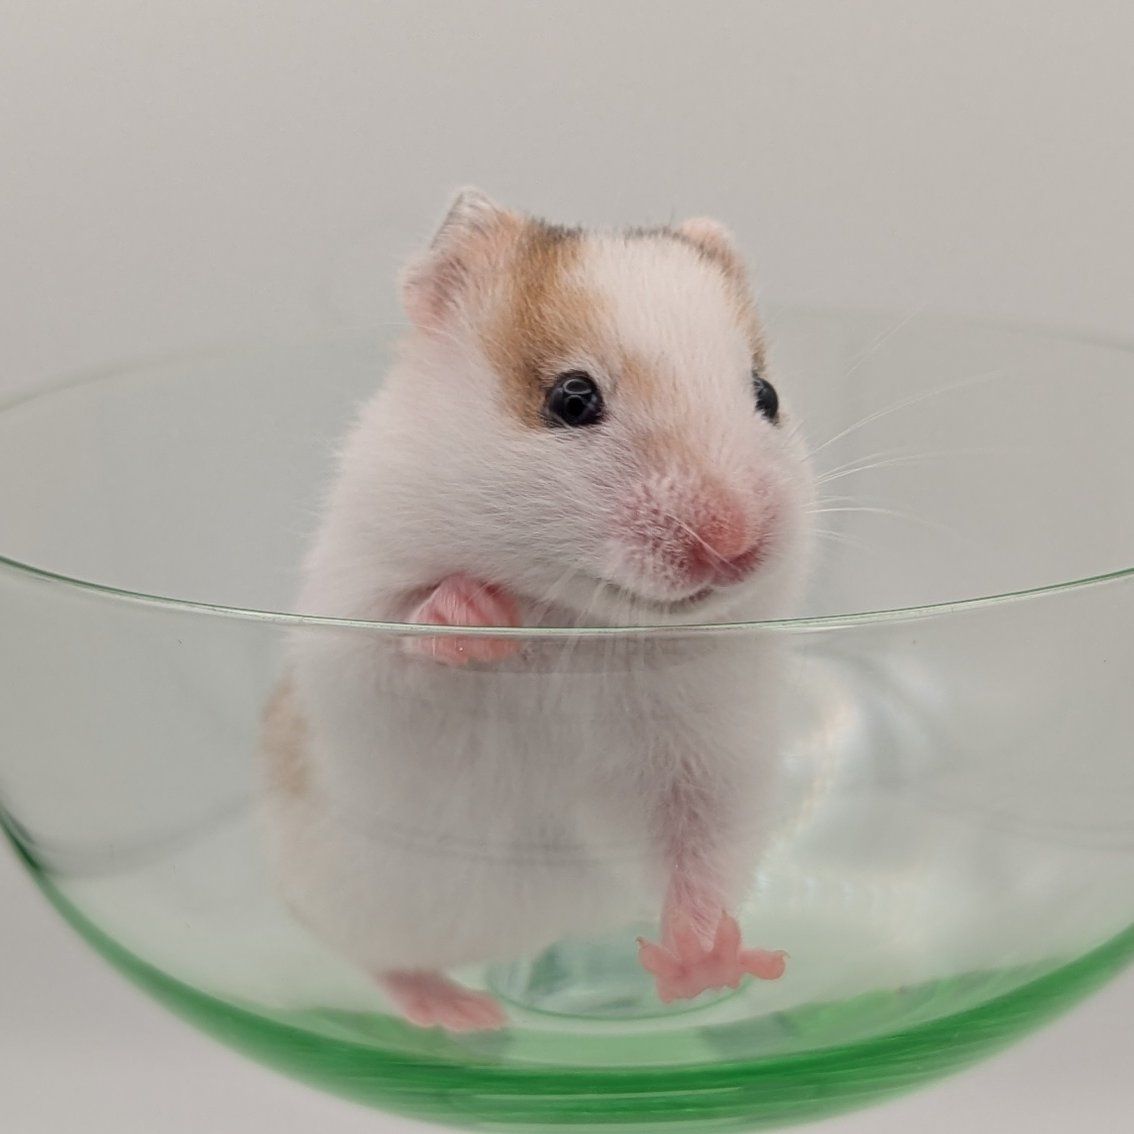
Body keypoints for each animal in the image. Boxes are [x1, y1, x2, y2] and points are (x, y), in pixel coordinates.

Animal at [260, 189, 816, 1033]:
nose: (735, 544)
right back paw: (463, 1015)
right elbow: (405, 633)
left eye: (767, 396)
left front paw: (703, 968)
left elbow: (696, 866)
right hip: (336, 889)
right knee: (379, 960)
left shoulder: (704, 771)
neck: (578, 623)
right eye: (571, 398)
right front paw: (478, 612)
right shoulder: (355, 635)